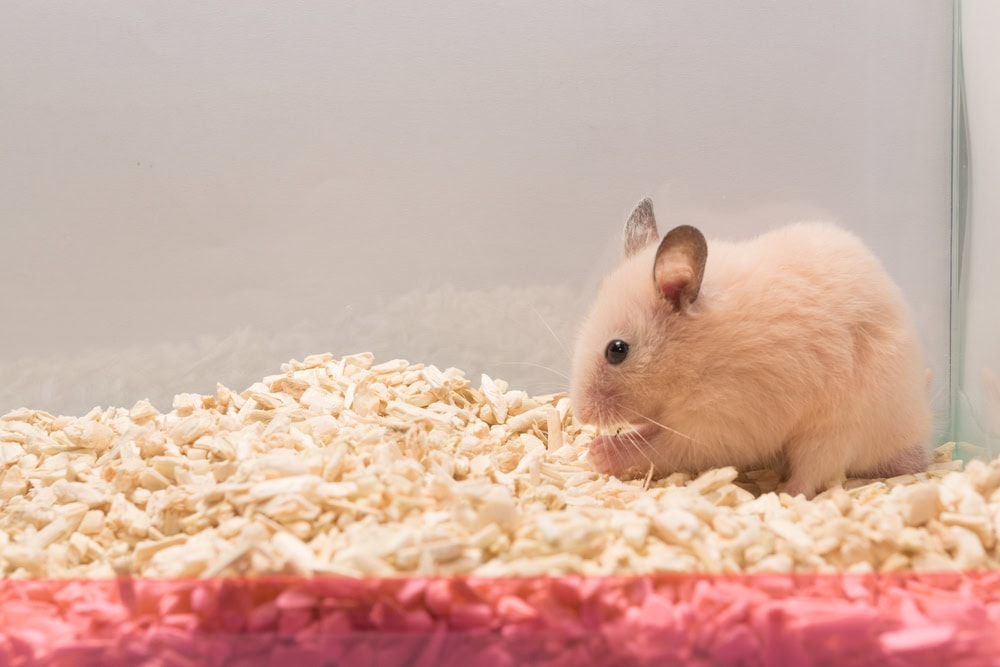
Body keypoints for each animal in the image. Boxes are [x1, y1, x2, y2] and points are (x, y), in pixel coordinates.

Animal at [569, 198, 931, 499]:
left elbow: (657, 447)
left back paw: (784, 493)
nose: (580, 414)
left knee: (815, 472)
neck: (697, 356)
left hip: (837, 429)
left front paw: (596, 453)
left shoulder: (719, 425)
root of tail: (916, 443)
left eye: (617, 350)